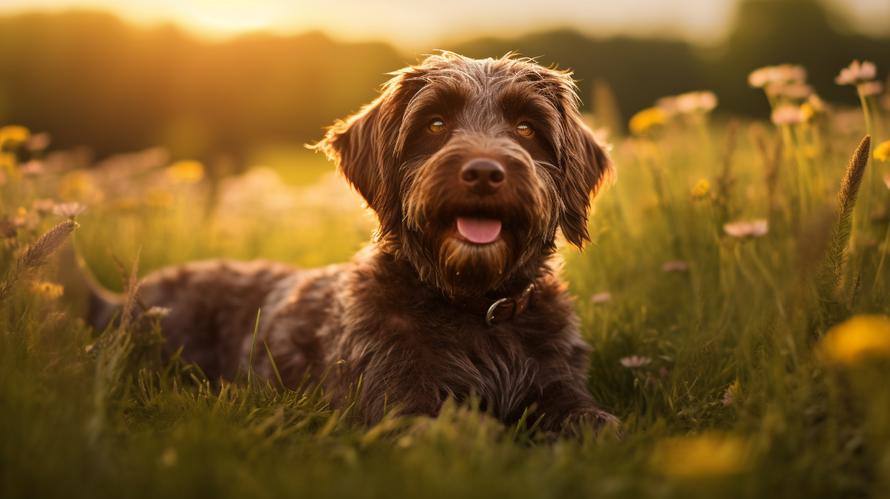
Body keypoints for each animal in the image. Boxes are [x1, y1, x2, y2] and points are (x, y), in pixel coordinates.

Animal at [90, 51, 616, 434]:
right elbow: (454, 430)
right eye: (436, 124)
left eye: (527, 127)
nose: (484, 172)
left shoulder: (559, 381)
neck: (474, 308)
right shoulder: (398, 399)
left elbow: (597, 422)